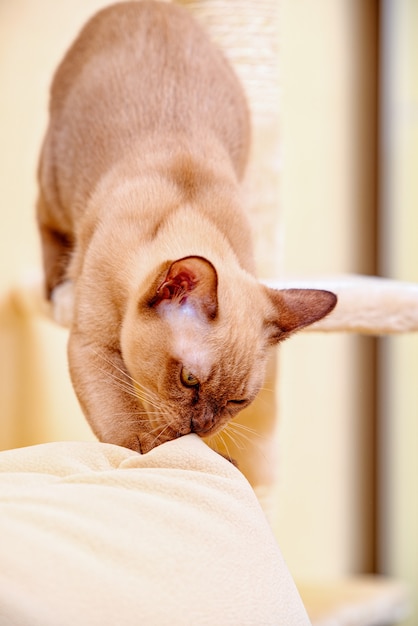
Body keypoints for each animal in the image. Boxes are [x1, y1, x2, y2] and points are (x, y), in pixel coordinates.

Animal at [35, 2, 336, 456]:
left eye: (237, 401)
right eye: (189, 380)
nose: (202, 426)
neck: (186, 206)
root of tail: (151, 7)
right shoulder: (93, 346)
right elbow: (126, 427)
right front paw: (150, 449)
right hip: (55, 180)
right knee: (46, 223)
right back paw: (59, 291)